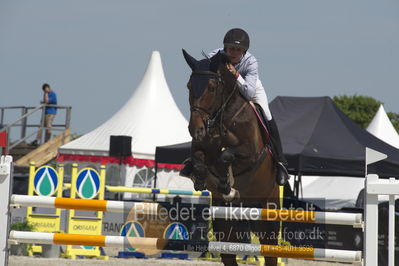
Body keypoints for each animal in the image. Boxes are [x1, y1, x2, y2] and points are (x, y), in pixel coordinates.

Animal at [183, 48, 280, 264]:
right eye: (189, 86)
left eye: (211, 88)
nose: (195, 129)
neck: (222, 117)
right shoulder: (201, 148)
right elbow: (200, 161)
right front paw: (201, 180)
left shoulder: (251, 154)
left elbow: (226, 155)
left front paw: (227, 185)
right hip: (224, 222)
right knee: (228, 253)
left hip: (268, 212)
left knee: (270, 251)